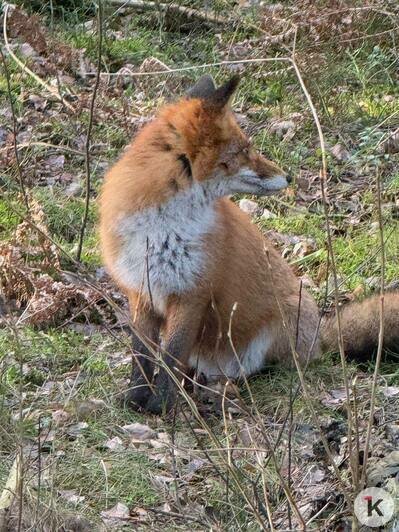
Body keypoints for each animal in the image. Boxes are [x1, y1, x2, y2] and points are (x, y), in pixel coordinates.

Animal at [100, 75, 399, 416]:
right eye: (245, 150)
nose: (289, 176)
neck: (160, 228)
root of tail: (318, 337)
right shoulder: (141, 291)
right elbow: (141, 356)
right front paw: (135, 400)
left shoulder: (192, 294)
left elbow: (170, 357)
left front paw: (160, 406)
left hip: (275, 331)